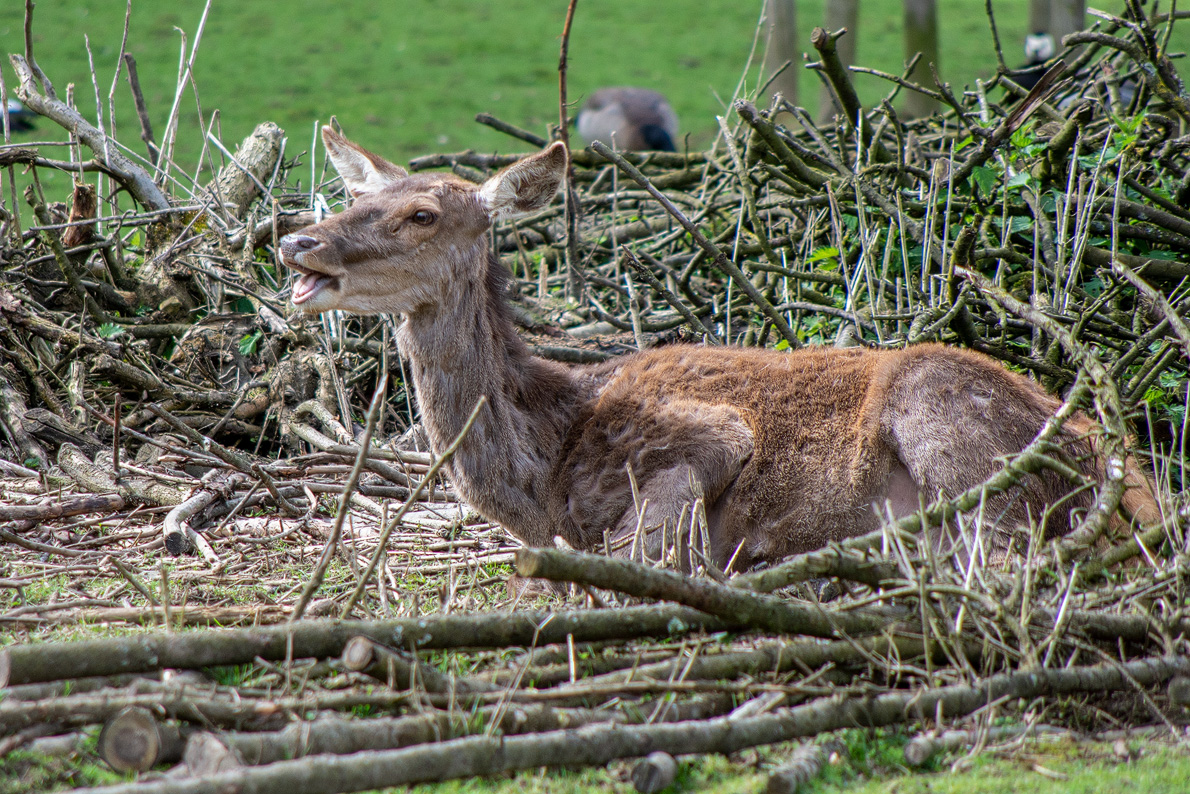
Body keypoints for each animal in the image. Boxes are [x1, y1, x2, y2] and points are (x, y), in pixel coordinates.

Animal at [280, 127, 1161, 569]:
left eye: (423, 213)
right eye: (356, 194)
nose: (297, 240)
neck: (545, 468)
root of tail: (1128, 472)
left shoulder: (703, 432)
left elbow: (643, 548)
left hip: (948, 418)